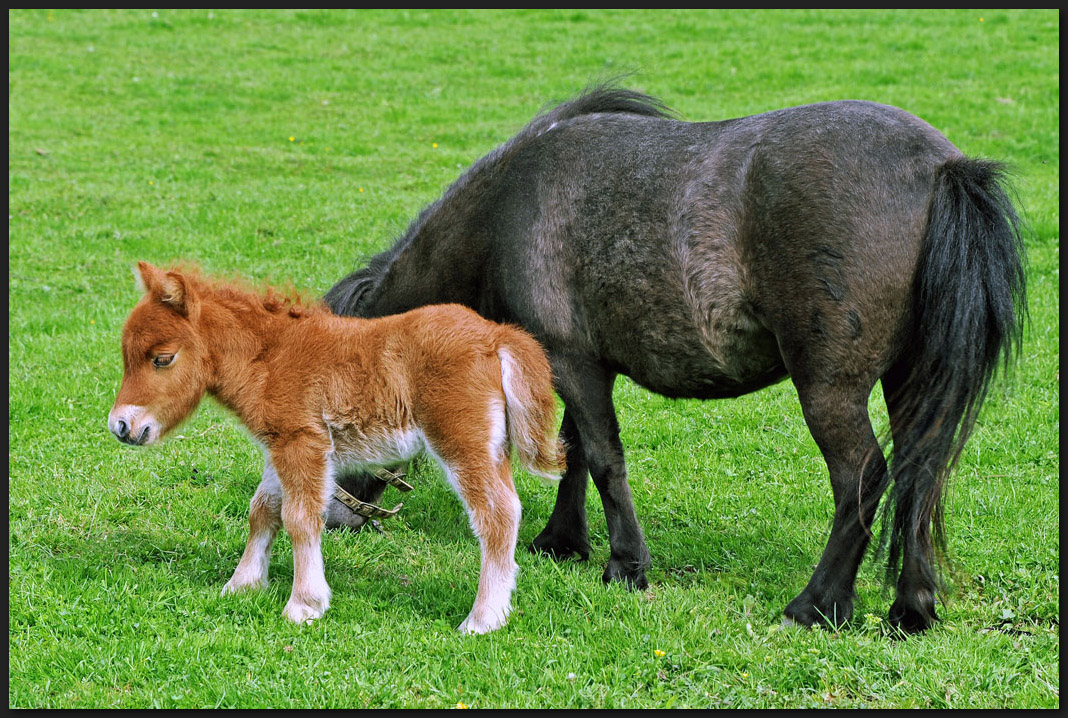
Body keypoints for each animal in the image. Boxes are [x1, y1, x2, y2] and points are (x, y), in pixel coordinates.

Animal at [324, 87, 1025, 632]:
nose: (332, 519)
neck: (505, 210)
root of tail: (941, 167)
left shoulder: (571, 360)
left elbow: (604, 459)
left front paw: (625, 565)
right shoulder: (577, 367)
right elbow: (576, 453)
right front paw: (563, 543)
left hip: (830, 388)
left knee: (864, 476)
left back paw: (817, 605)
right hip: (912, 382)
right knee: (919, 474)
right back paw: (911, 610)